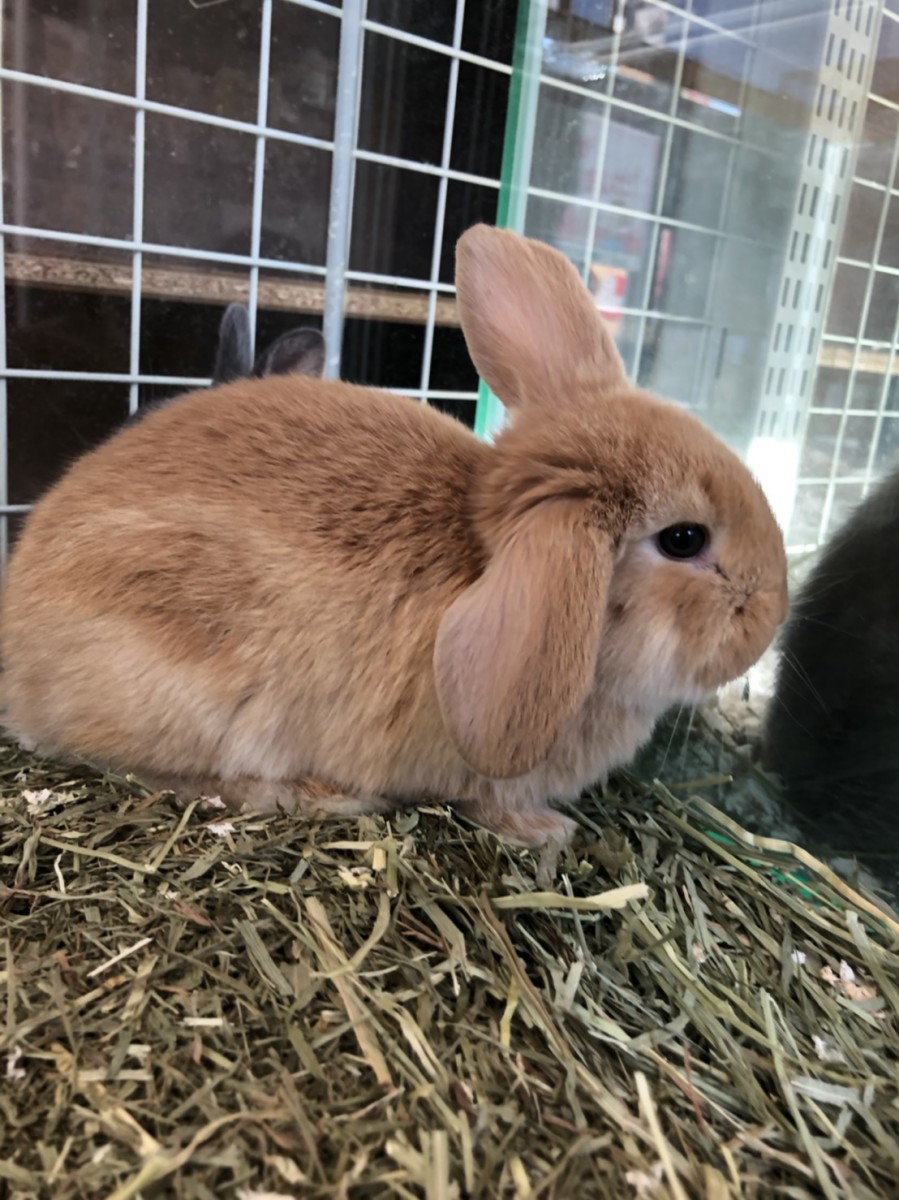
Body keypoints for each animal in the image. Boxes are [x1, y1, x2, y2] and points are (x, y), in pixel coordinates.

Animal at [0, 225, 788, 850]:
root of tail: (18, 663)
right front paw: (548, 832)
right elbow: (493, 803)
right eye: (684, 539)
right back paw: (309, 794)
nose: (771, 618)